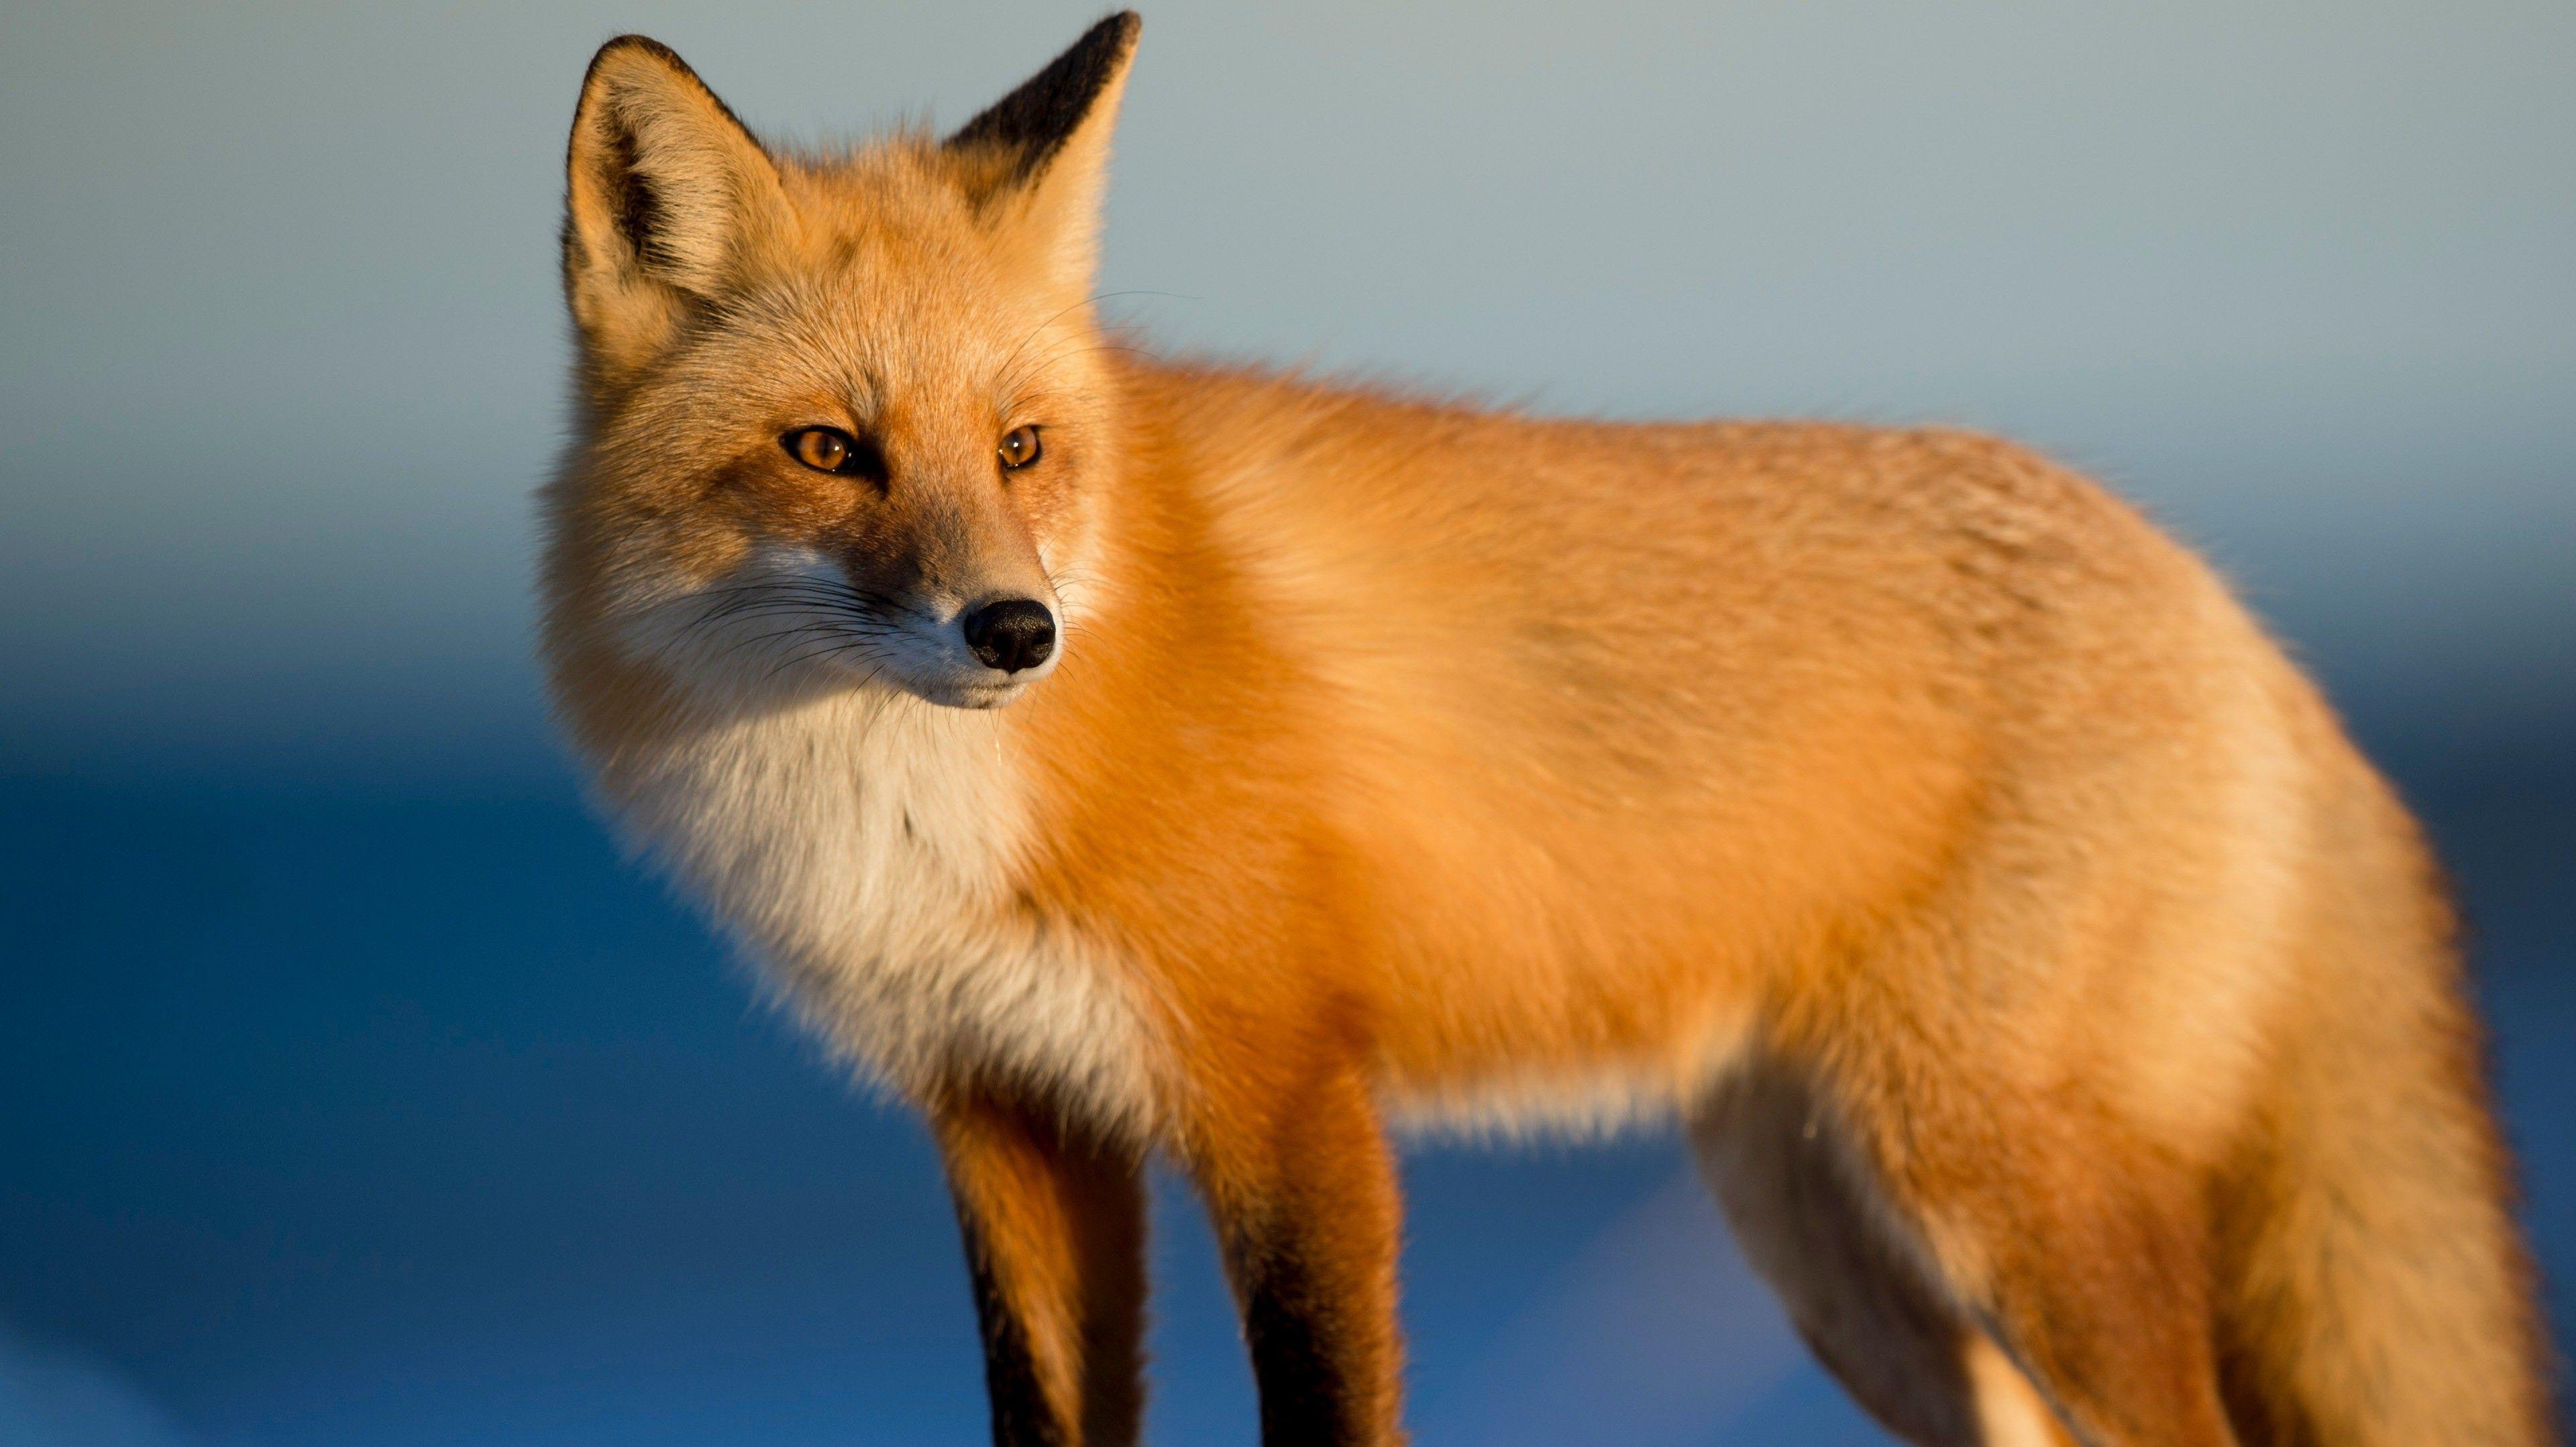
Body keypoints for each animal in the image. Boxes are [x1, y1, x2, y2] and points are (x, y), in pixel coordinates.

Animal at [539, 13, 2553, 1447]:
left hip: (2003, 1195)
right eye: (829, 450)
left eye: (1023, 448)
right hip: (1836, 1249)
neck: (907, 813)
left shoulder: (1286, 1093)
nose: (1015, 630)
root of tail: (2230, 604)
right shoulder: (1008, 1119)